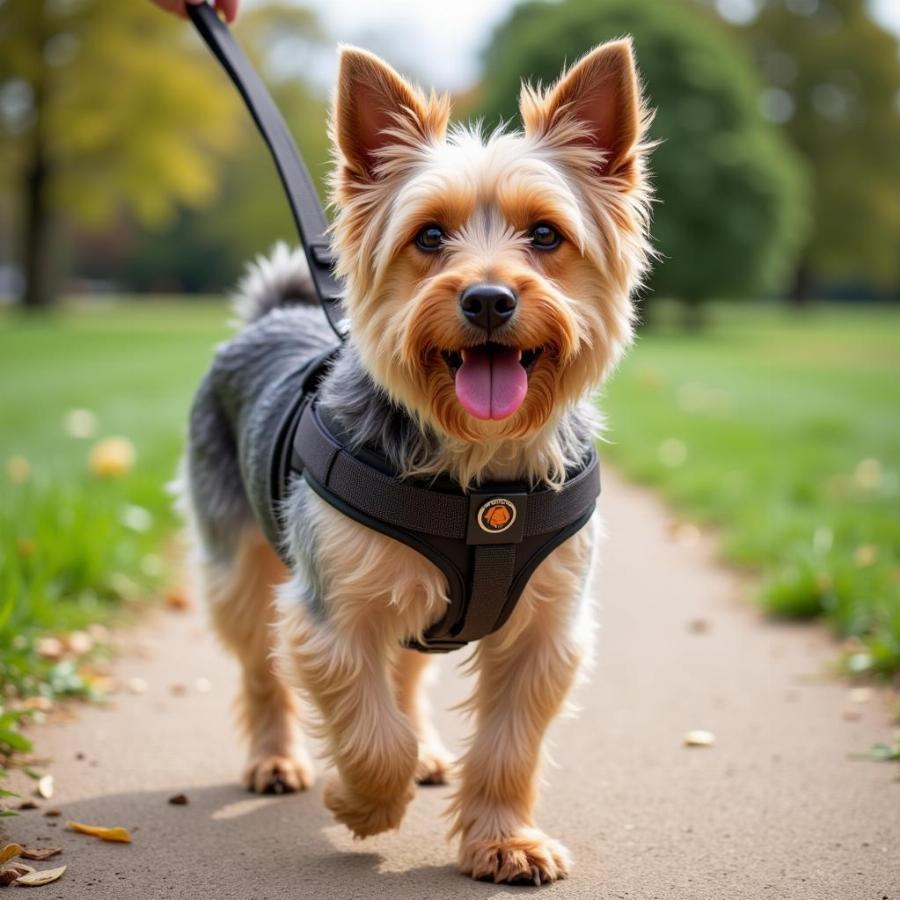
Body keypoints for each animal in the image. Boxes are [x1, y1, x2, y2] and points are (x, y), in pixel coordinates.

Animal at [183, 40, 652, 884]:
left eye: (546, 236)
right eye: (429, 238)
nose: (489, 300)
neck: (482, 468)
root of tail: (275, 313)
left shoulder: (545, 633)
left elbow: (507, 746)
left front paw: (504, 840)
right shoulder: (332, 615)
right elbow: (372, 733)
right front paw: (362, 804)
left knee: (403, 671)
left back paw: (429, 754)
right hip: (236, 567)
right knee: (261, 670)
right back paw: (276, 760)